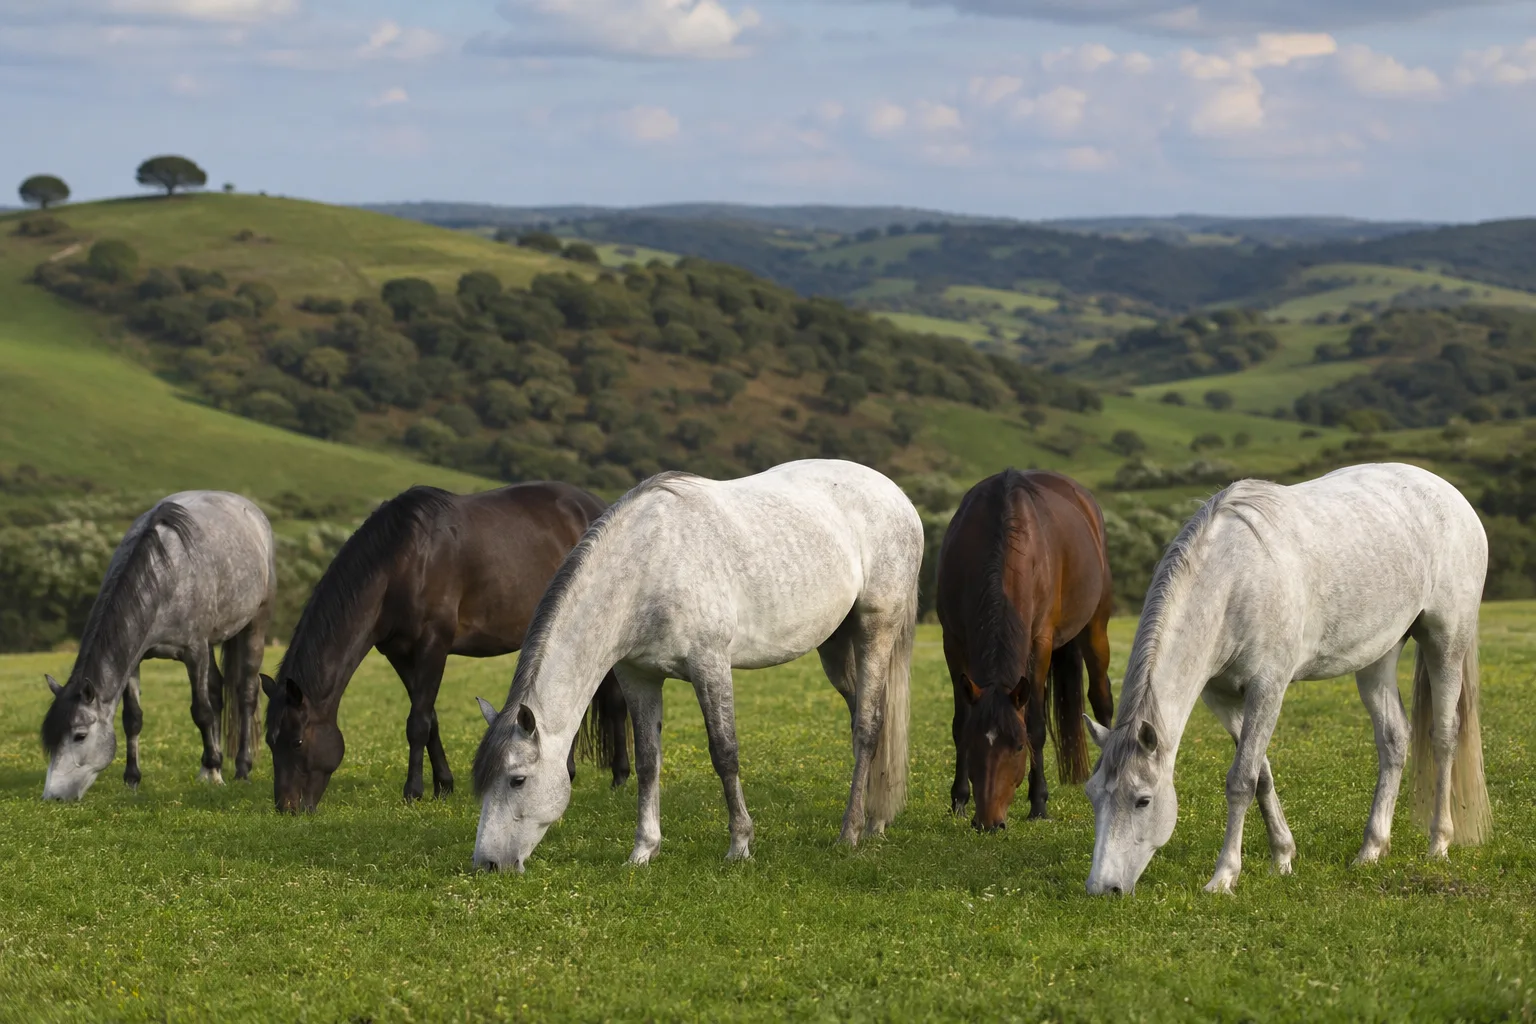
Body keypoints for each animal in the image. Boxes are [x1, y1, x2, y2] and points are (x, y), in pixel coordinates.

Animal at [41, 491, 275, 800]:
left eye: (80, 735)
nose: (53, 796)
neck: (164, 576)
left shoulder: (194, 652)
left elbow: (201, 712)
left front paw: (215, 772)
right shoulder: (134, 660)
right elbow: (133, 719)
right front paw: (132, 779)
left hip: (254, 624)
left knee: (245, 693)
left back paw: (240, 769)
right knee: (216, 691)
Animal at [263, 481, 631, 812]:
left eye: (297, 741)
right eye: (269, 741)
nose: (287, 807)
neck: (403, 562)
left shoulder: (433, 645)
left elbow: (417, 723)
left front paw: (413, 792)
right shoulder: (399, 653)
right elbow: (431, 719)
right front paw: (443, 785)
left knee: (615, 703)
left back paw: (620, 778)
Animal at [470, 459, 922, 873]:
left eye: (517, 779)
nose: (486, 864)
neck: (648, 565)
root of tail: (898, 497)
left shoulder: (710, 665)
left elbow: (724, 752)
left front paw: (740, 845)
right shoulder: (639, 677)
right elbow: (648, 761)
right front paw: (643, 851)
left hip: (875, 629)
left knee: (868, 726)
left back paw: (851, 833)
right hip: (835, 647)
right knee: (865, 717)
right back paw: (875, 821)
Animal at [937, 469, 1114, 831]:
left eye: (1018, 747)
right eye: (974, 745)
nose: (989, 823)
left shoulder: (1040, 643)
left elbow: (1035, 726)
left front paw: (1038, 804)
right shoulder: (953, 642)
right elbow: (960, 721)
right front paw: (958, 800)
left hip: (1095, 628)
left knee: (1102, 698)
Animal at [1084, 462, 1491, 896]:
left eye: (1142, 800)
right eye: (1092, 795)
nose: (1101, 888)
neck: (1234, 581)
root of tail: (1446, 491)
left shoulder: (1268, 689)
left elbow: (1241, 780)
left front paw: (1224, 876)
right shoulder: (1222, 698)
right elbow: (1261, 775)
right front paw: (1282, 857)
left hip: (1446, 642)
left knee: (1444, 736)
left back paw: (1439, 843)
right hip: (1378, 658)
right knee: (1394, 739)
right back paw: (1371, 850)